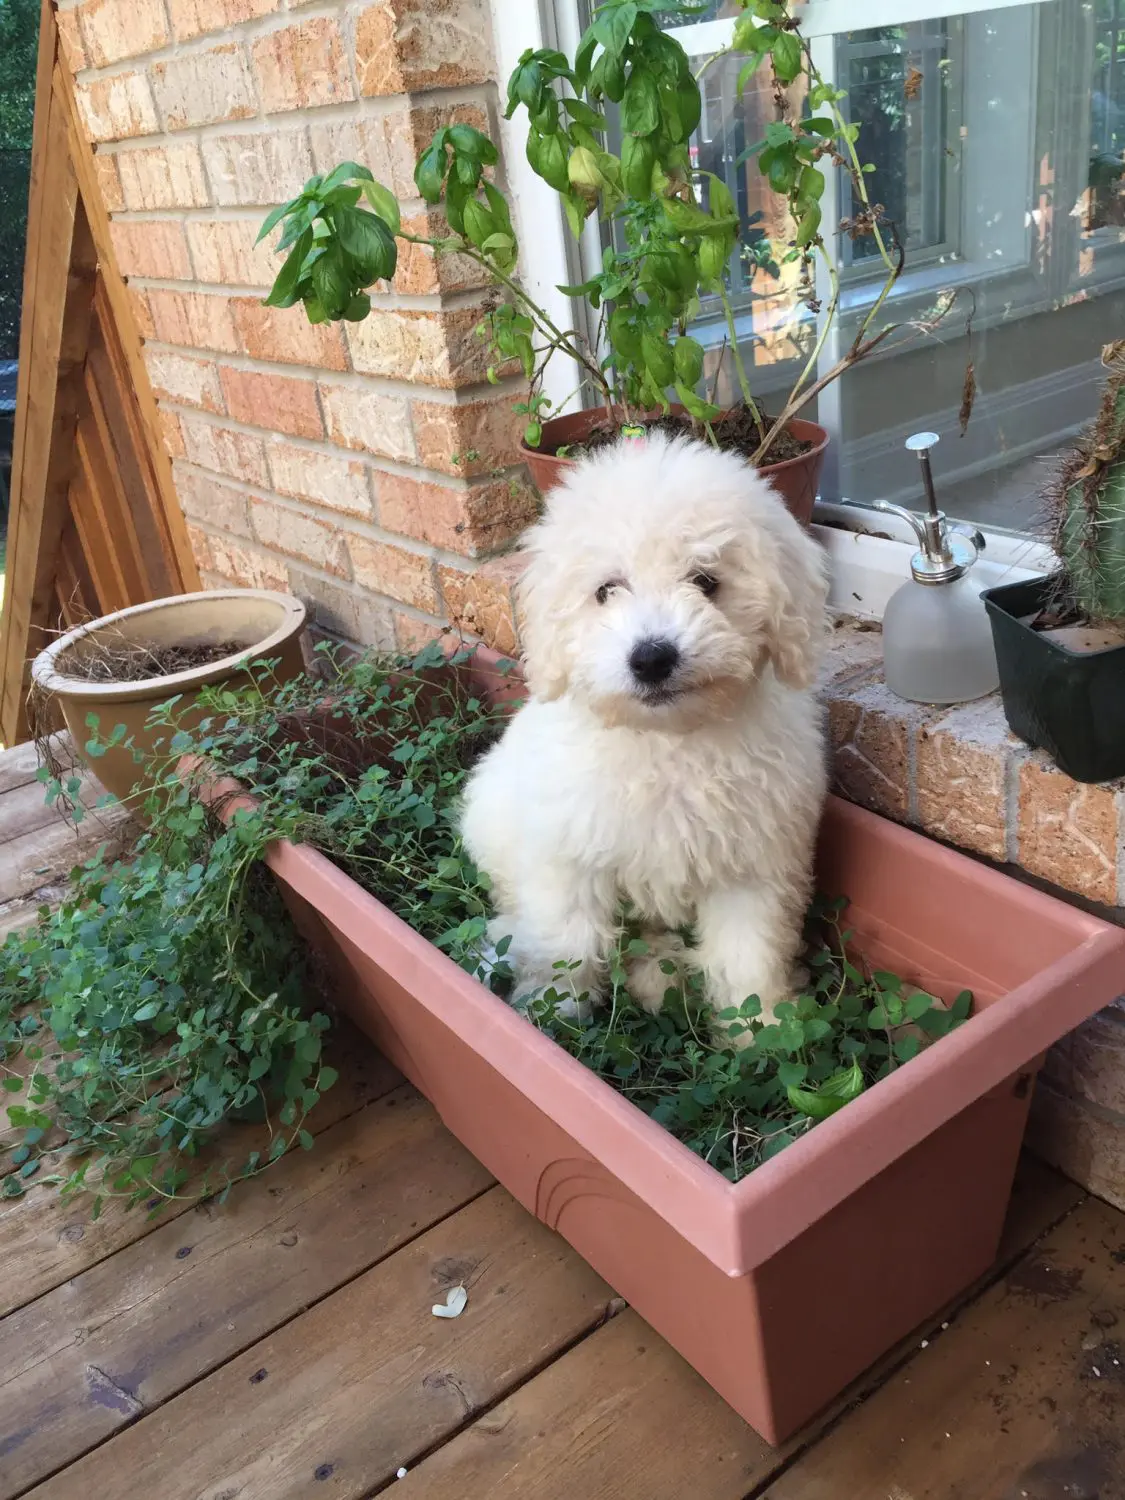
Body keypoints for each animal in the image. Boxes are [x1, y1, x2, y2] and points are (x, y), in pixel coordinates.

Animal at [462, 429, 834, 1026]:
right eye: (606, 590)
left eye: (706, 581)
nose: (653, 657)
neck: (666, 740)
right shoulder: (568, 853)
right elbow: (567, 941)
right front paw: (553, 1012)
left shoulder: (754, 865)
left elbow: (748, 957)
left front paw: (762, 1026)